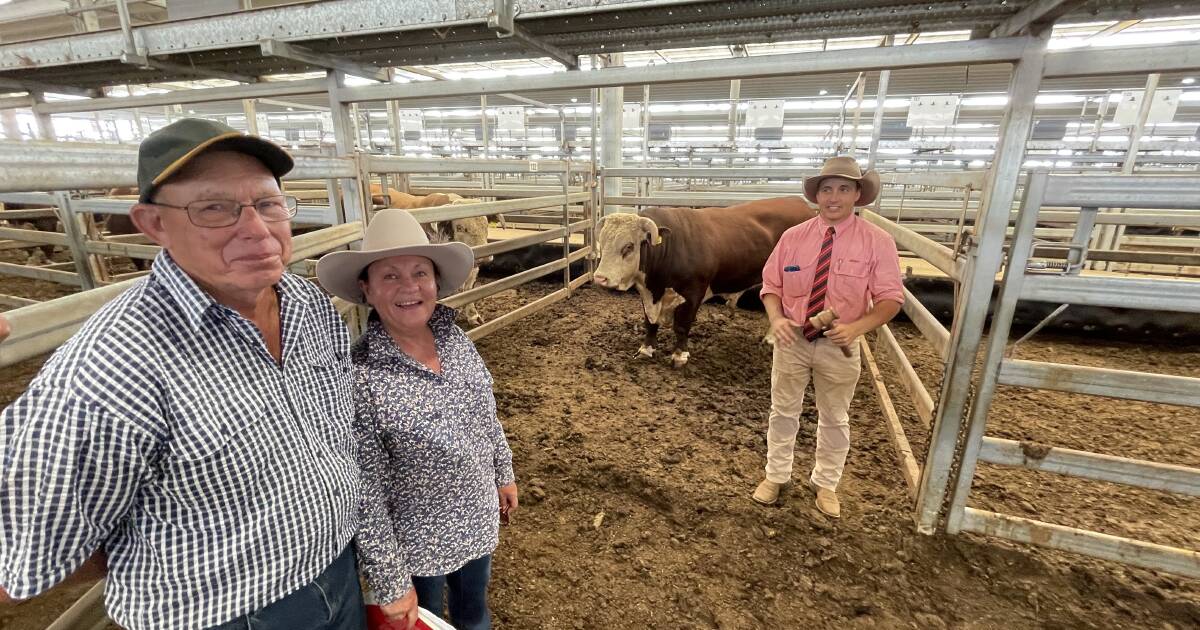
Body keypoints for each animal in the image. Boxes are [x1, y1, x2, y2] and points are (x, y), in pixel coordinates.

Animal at [595, 194, 820, 364]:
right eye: (602, 242)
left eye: (629, 246)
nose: (600, 277)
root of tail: (798, 202)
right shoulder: (649, 294)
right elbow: (650, 323)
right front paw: (646, 349)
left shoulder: (694, 292)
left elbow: (682, 326)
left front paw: (679, 356)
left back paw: (772, 338)